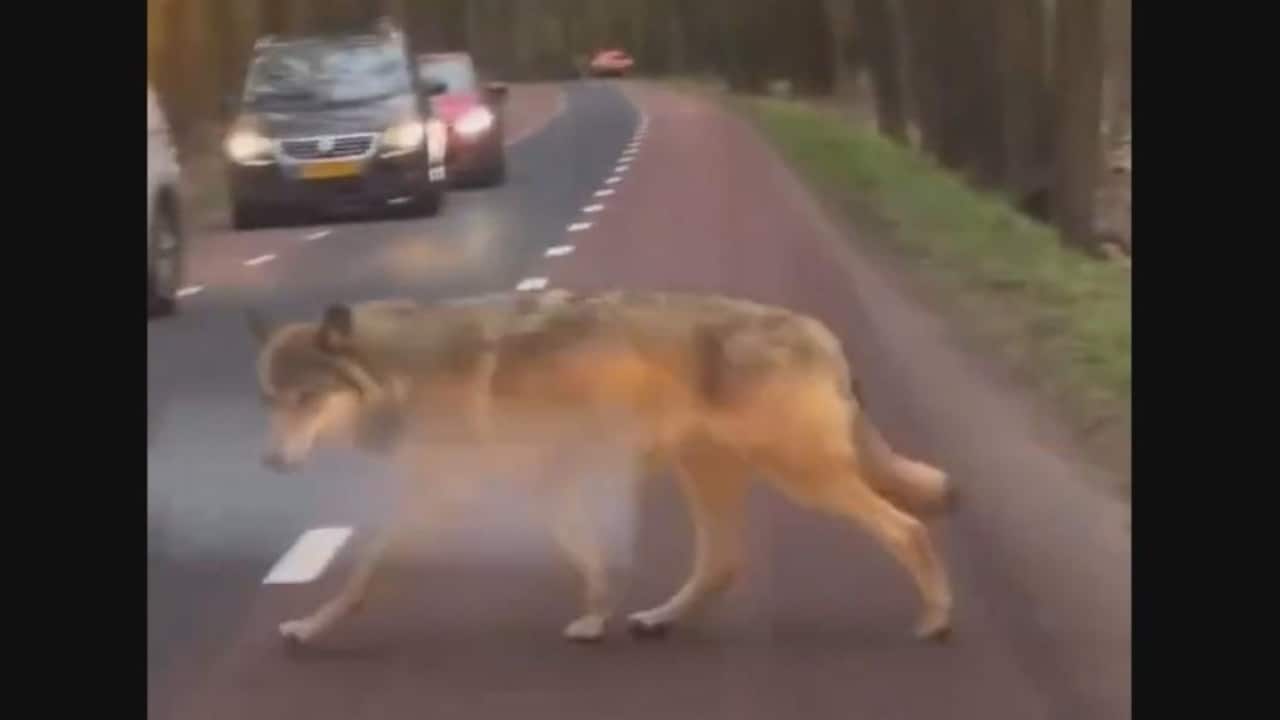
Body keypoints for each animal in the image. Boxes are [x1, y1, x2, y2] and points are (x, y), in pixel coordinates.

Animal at [249, 289, 953, 645]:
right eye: (270, 400)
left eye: (306, 399)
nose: (270, 462)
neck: (402, 372)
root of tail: (823, 331)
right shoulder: (547, 488)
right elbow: (588, 560)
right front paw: (597, 616)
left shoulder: (442, 496)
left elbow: (364, 568)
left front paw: (311, 626)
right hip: (708, 475)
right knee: (723, 562)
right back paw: (660, 618)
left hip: (803, 479)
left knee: (910, 529)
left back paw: (937, 621)